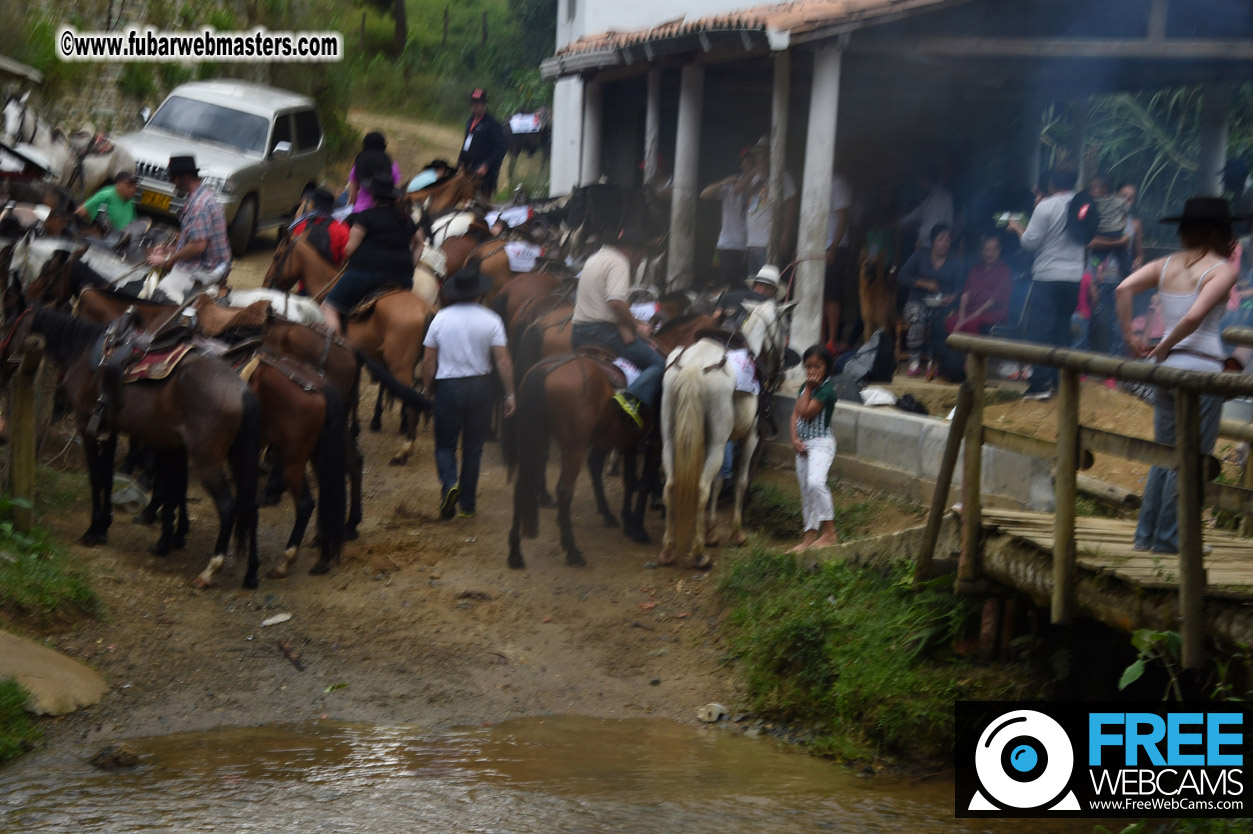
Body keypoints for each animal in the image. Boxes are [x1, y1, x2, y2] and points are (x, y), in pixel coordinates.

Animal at [1, 295, 261, 588]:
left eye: (8, 324)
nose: (1, 363)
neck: (84, 352)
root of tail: (242, 390)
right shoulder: (110, 429)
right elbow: (107, 475)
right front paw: (103, 526)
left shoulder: (86, 425)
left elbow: (96, 476)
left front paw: (93, 530)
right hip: (238, 456)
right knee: (250, 504)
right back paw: (251, 572)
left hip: (207, 459)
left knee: (228, 506)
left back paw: (209, 570)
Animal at [264, 235, 436, 460]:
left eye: (277, 256)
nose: (267, 284)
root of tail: (426, 309)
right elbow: (356, 394)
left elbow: (353, 395)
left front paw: (353, 430)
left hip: (400, 366)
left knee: (412, 403)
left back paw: (404, 450)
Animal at [656, 295, 791, 568]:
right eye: (785, 327)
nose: (781, 369)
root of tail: (693, 368)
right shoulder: (750, 437)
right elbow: (739, 480)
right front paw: (736, 532)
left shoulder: (724, 439)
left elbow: (719, 481)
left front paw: (710, 529)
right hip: (717, 442)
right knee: (701, 488)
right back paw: (699, 553)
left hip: (671, 438)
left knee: (671, 484)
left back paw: (668, 549)